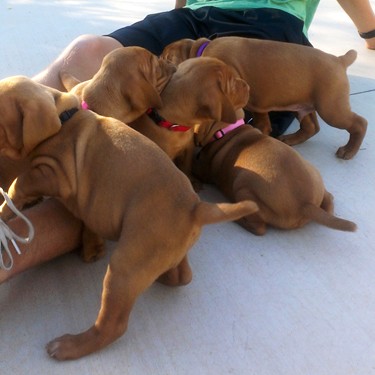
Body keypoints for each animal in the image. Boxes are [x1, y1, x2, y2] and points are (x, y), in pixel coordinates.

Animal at [0, 76, 258, 362]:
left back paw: (70, 346)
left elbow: (20, 182)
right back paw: (164, 275)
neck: (62, 116)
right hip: (164, 250)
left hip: (125, 264)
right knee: (182, 275)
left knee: (113, 326)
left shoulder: (54, 173)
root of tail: (195, 208)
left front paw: (7, 206)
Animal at [163, 37, 368, 160]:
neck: (199, 50)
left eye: (164, 58)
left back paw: (349, 150)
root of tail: (340, 60)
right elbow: (262, 120)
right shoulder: (258, 105)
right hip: (303, 106)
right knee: (311, 127)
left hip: (331, 108)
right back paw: (291, 139)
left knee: (359, 123)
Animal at [192, 122, 356, 235]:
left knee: (259, 228)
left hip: (243, 187)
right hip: (315, 173)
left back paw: (238, 218)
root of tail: (306, 204)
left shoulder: (202, 169)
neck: (229, 129)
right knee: (329, 198)